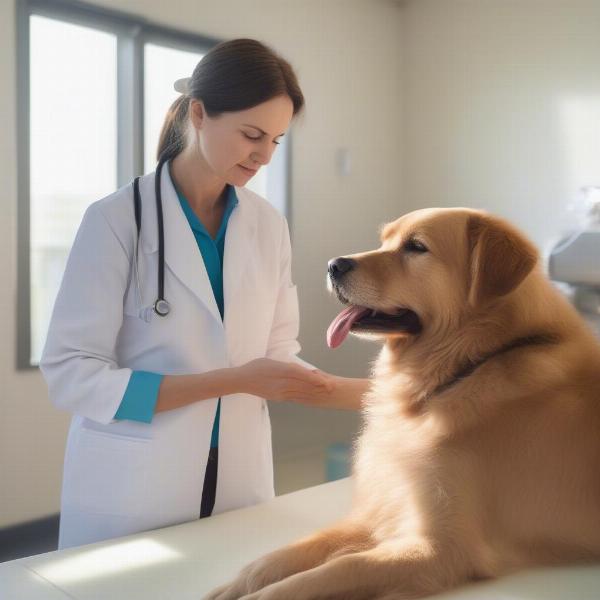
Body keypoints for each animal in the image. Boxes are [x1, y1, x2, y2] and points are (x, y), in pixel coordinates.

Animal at [205, 209, 600, 596]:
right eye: (384, 241)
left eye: (416, 247)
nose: (333, 265)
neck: (465, 370)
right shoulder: (383, 508)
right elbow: (286, 555)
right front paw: (235, 585)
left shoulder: (443, 548)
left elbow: (333, 571)